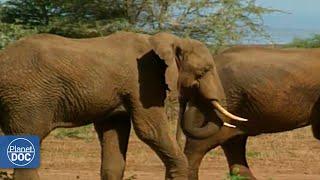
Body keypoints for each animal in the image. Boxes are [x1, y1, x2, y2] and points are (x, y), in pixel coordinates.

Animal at [0, 31, 246, 179]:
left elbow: (114, 133)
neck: (160, 40)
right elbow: (150, 130)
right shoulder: (143, 80)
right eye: (204, 71)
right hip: (28, 98)